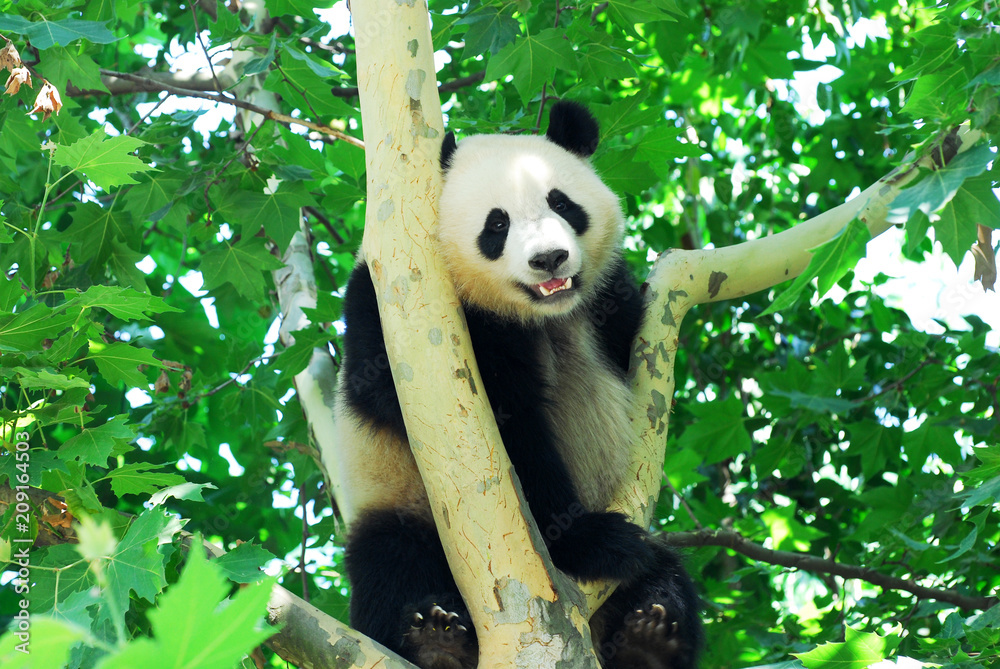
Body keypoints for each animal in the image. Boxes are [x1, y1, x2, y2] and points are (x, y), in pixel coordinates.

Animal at [328, 101, 703, 669]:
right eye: (497, 223)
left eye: (561, 203)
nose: (549, 259)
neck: (541, 316)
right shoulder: (407, 326)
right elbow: (509, 440)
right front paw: (586, 543)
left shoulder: (606, 303)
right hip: (399, 506)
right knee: (391, 564)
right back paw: (435, 638)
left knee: (666, 574)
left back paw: (651, 634)